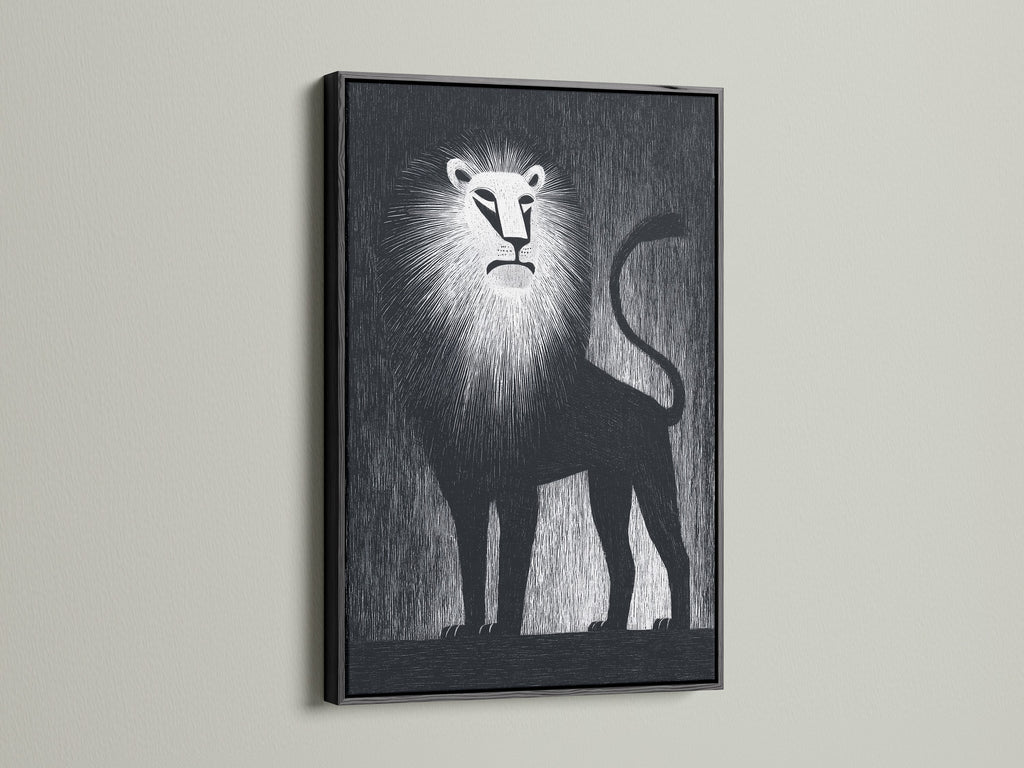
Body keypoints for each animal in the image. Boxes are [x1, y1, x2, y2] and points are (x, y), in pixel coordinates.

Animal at [379, 138, 691, 637]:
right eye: (484, 200)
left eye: (527, 203)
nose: (517, 242)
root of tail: (652, 406)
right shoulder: (463, 492)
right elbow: (471, 569)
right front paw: (469, 629)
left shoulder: (518, 490)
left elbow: (511, 568)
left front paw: (503, 631)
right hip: (607, 486)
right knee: (624, 562)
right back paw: (610, 627)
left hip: (651, 478)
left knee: (675, 555)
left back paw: (674, 624)